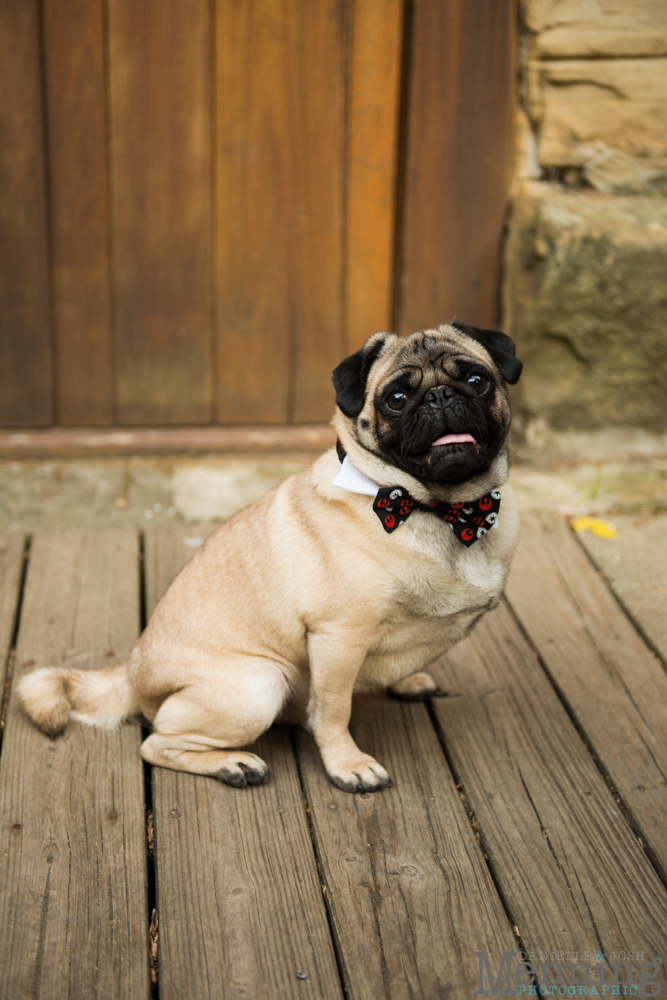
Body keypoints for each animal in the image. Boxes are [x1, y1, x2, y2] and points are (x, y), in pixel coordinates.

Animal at [19, 324, 520, 792]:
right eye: (396, 399)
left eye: (476, 380)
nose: (440, 395)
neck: (441, 510)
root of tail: (131, 672)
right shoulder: (338, 637)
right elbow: (334, 711)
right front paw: (347, 765)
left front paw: (405, 680)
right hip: (258, 685)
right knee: (156, 743)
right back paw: (234, 764)